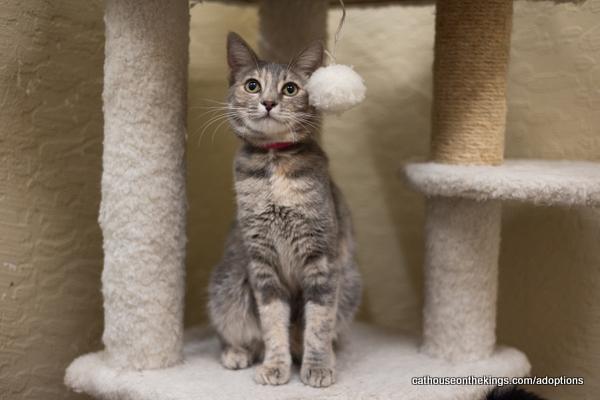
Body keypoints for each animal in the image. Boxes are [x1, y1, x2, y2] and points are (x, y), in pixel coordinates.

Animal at [209, 32, 360, 390]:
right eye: (252, 85)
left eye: (290, 88)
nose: (268, 102)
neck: (275, 162)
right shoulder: (261, 262)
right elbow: (272, 323)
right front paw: (275, 366)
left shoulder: (321, 258)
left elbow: (318, 323)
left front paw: (317, 367)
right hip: (229, 283)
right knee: (237, 331)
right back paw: (237, 353)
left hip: (349, 282)